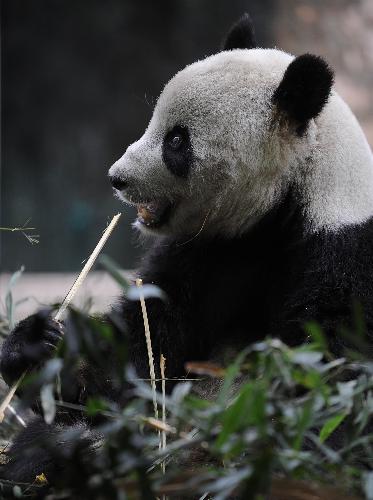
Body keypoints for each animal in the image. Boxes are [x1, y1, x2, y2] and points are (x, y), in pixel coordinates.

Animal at [2, 13, 372, 484]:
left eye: (177, 141)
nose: (116, 177)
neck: (295, 196)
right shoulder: (215, 250)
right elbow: (147, 342)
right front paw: (35, 347)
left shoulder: (346, 257)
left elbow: (328, 375)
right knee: (46, 443)